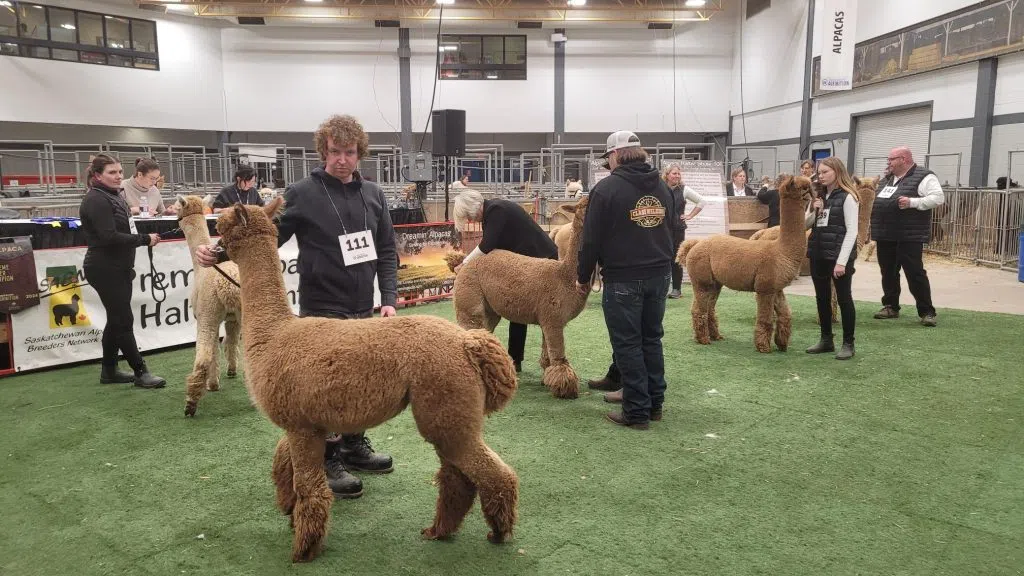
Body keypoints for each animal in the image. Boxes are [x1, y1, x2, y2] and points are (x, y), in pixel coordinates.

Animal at [175, 195, 243, 417]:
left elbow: (212, 350)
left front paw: (212, 384)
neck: (200, 269)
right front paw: (231, 370)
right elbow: (231, 342)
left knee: (202, 357)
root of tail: (228, 286)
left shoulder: (207, 315)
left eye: (177, 208)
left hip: (207, 314)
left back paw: (190, 405)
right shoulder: (232, 318)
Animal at [215, 199, 519, 563]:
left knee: (487, 472)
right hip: (449, 412)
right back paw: (439, 530)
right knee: (456, 476)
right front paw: (288, 510)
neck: (274, 333)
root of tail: (468, 342)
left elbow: (309, 486)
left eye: (222, 225)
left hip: (445, 408)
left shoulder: (300, 425)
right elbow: (281, 462)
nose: (212, 249)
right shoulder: (305, 421)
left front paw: (304, 548)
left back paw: (497, 532)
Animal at [678, 175, 815, 353]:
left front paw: (782, 344)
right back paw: (704, 340)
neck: (781, 250)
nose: (811, 194)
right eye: (801, 188)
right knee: (698, 309)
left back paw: (715, 336)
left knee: (709, 308)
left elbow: (785, 315)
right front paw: (764, 347)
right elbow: (766, 319)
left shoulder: (777, 288)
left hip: (715, 283)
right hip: (702, 281)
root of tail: (695, 244)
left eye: (809, 186)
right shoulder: (765, 288)